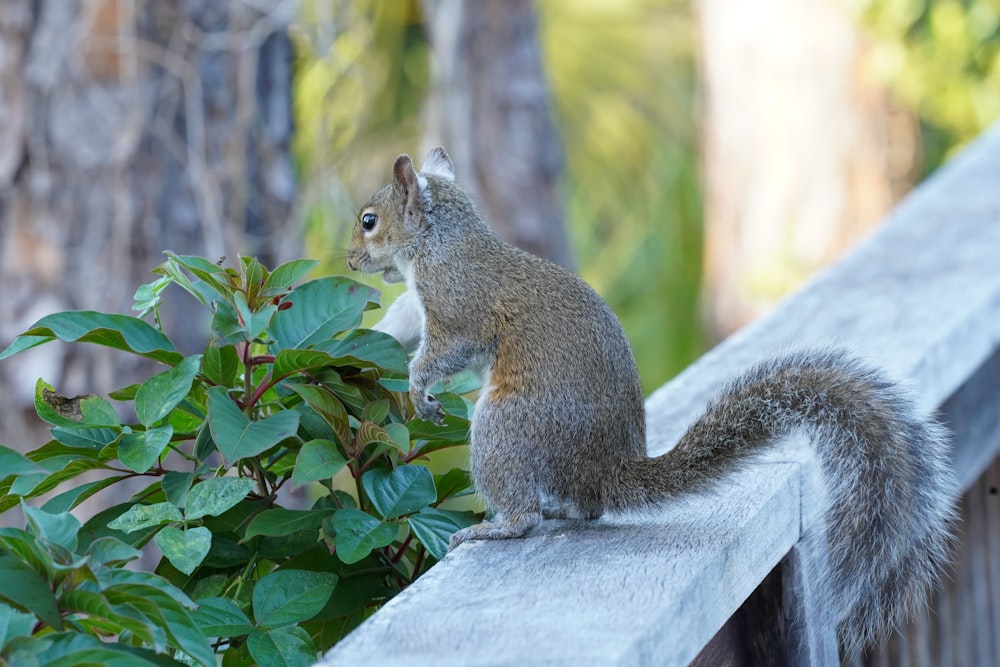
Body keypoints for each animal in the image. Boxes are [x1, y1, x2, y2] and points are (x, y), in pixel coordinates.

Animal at [348, 145, 956, 656]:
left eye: (369, 220)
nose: (350, 260)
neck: (440, 244)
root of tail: (609, 467)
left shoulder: (458, 306)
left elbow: (447, 349)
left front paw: (419, 388)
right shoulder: (416, 304)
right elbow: (398, 324)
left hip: (508, 423)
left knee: (528, 511)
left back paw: (495, 526)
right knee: (585, 507)